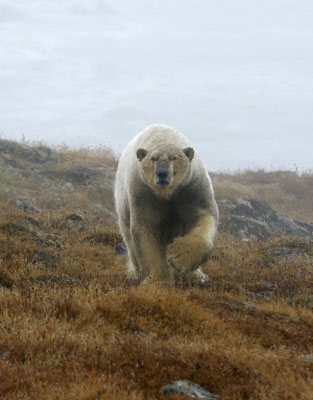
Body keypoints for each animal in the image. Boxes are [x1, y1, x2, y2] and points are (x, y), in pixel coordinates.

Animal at [113, 123, 218, 282]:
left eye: (174, 158)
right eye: (153, 158)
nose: (162, 173)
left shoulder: (191, 188)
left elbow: (203, 216)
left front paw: (178, 258)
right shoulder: (144, 192)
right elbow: (146, 227)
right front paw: (157, 279)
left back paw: (197, 274)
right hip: (123, 209)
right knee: (130, 242)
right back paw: (135, 272)